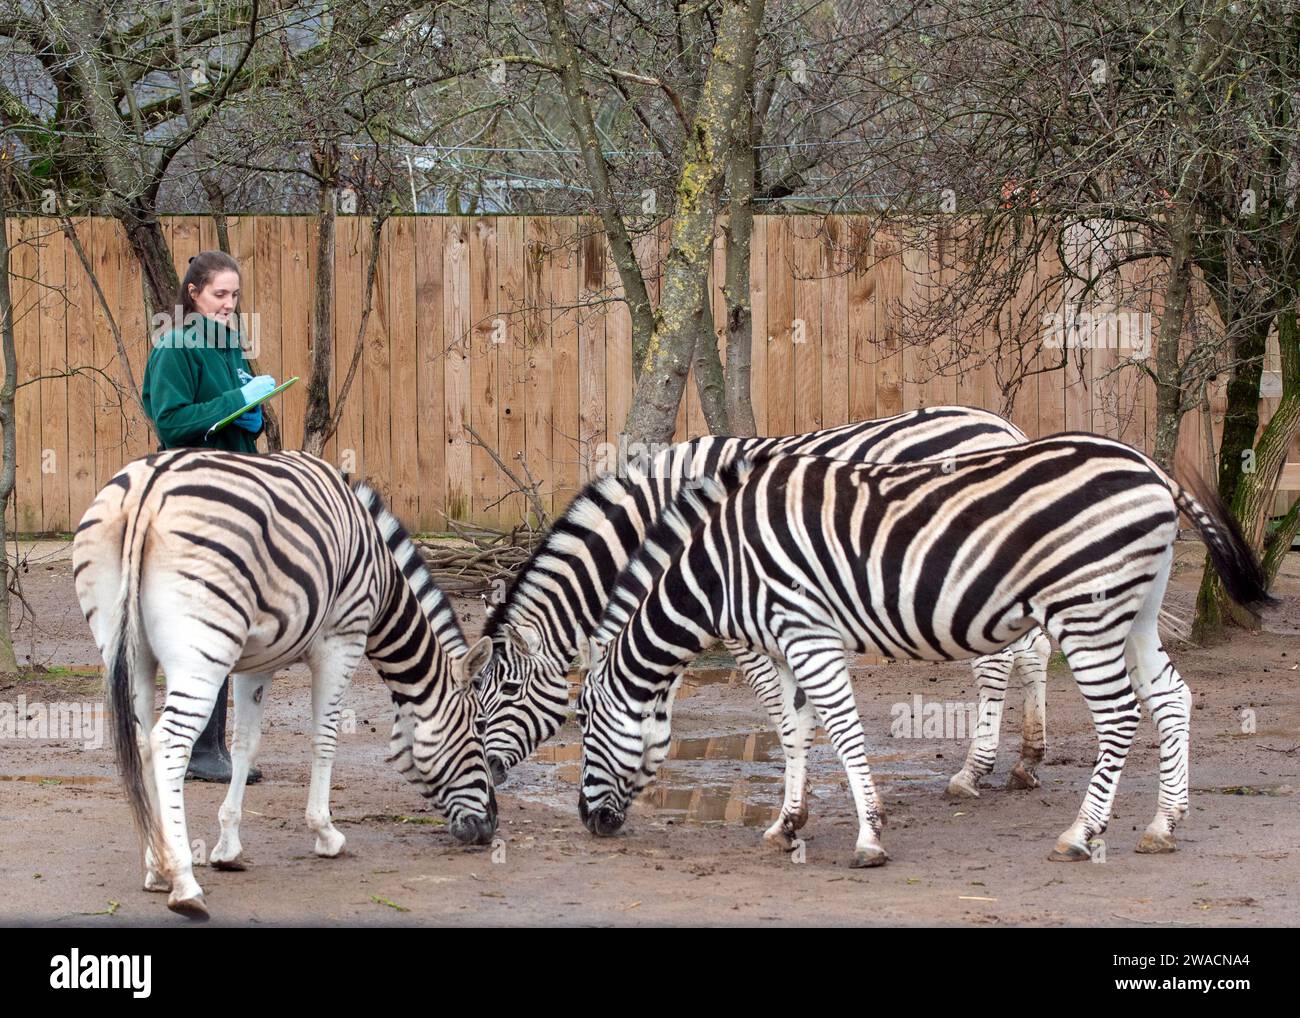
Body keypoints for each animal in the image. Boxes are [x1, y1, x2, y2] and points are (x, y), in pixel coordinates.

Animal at [73, 449, 493, 920]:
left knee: (143, 742)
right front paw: (326, 833)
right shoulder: (341, 640)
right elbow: (325, 738)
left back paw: (155, 866)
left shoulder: (254, 663)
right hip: (203, 648)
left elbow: (245, 745)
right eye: (479, 728)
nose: (489, 829)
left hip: (126, 646)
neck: (382, 580)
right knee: (169, 742)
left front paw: (228, 849)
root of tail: (148, 489)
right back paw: (183, 881)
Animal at [483, 405, 1050, 842]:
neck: (660, 508)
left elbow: (778, 707)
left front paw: (796, 801)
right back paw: (1027, 760)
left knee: (997, 663)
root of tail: (1005, 428)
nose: (487, 773)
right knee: (1034, 651)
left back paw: (972, 772)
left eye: (507, 693)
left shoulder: (729, 611)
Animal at [574, 436, 1274, 868]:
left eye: (582, 722)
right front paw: (787, 824)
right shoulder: (787, 644)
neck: (720, 568)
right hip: (1138, 610)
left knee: (1121, 715)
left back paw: (1080, 835)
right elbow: (795, 731)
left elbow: (843, 732)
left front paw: (868, 837)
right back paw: (1164, 825)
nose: (587, 822)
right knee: (1172, 697)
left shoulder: (809, 634)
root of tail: (1152, 470)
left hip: (1087, 611)